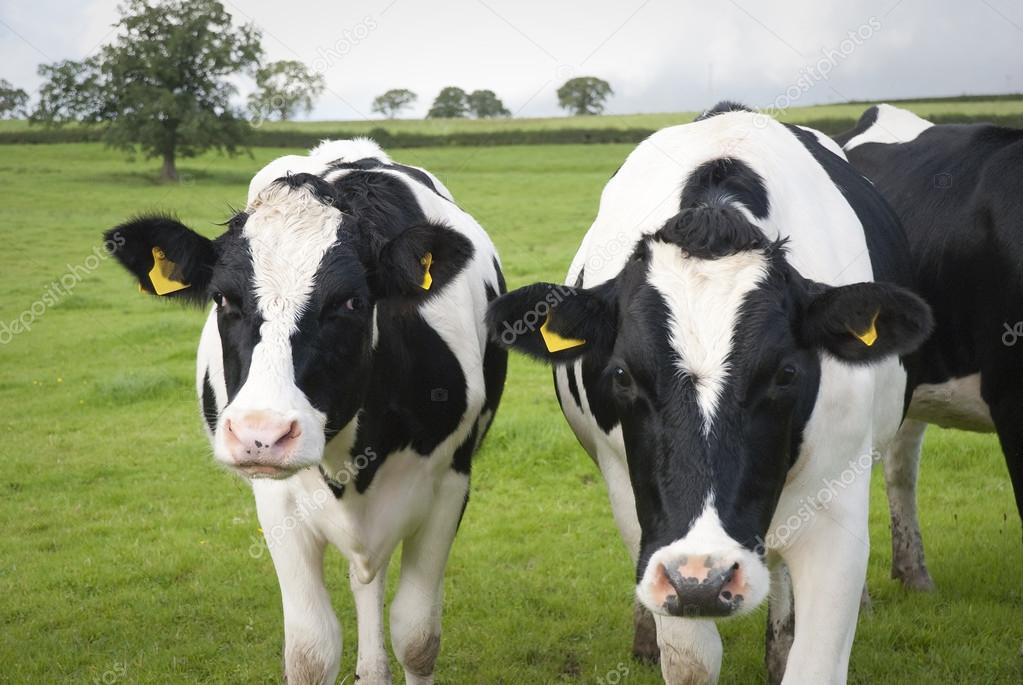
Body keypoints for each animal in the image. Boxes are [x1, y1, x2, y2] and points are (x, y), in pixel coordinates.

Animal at [103, 139, 507, 685]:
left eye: (352, 302)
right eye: (222, 298)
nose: (262, 433)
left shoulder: (449, 482)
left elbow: (417, 637)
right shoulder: (277, 500)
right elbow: (311, 650)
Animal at [486, 103, 933, 684]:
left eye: (786, 373)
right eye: (622, 375)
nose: (703, 579)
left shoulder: (836, 507)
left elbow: (814, 663)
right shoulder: (645, 519)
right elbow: (691, 659)